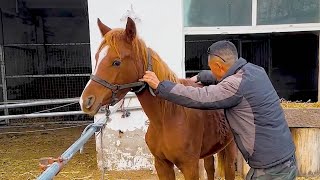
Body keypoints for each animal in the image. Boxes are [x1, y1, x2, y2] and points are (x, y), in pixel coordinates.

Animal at [80, 17, 238, 180]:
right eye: (97, 57)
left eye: (116, 62)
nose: (86, 101)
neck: (167, 116)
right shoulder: (161, 164)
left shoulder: (190, 167)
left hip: (230, 148)